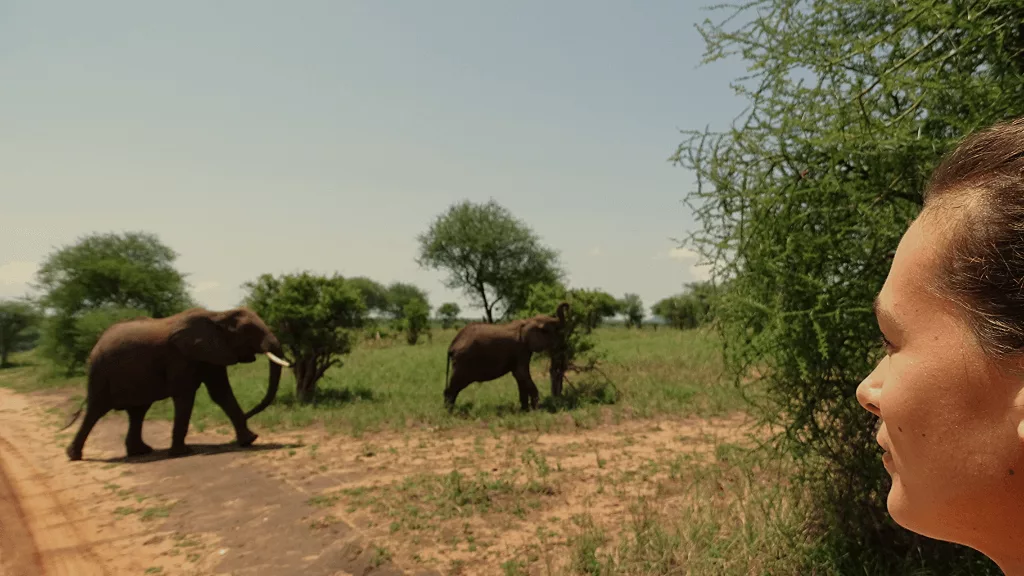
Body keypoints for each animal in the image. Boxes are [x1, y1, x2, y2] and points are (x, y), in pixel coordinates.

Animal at [63, 307, 288, 459]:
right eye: (249, 331)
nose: (249, 414)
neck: (218, 315)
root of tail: (96, 343)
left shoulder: (211, 353)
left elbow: (221, 392)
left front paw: (250, 440)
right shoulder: (180, 357)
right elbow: (185, 396)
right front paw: (183, 452)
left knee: (137, 412)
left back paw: (141, 452)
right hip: (100, 373)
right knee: (95, 411)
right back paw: (74, 456)